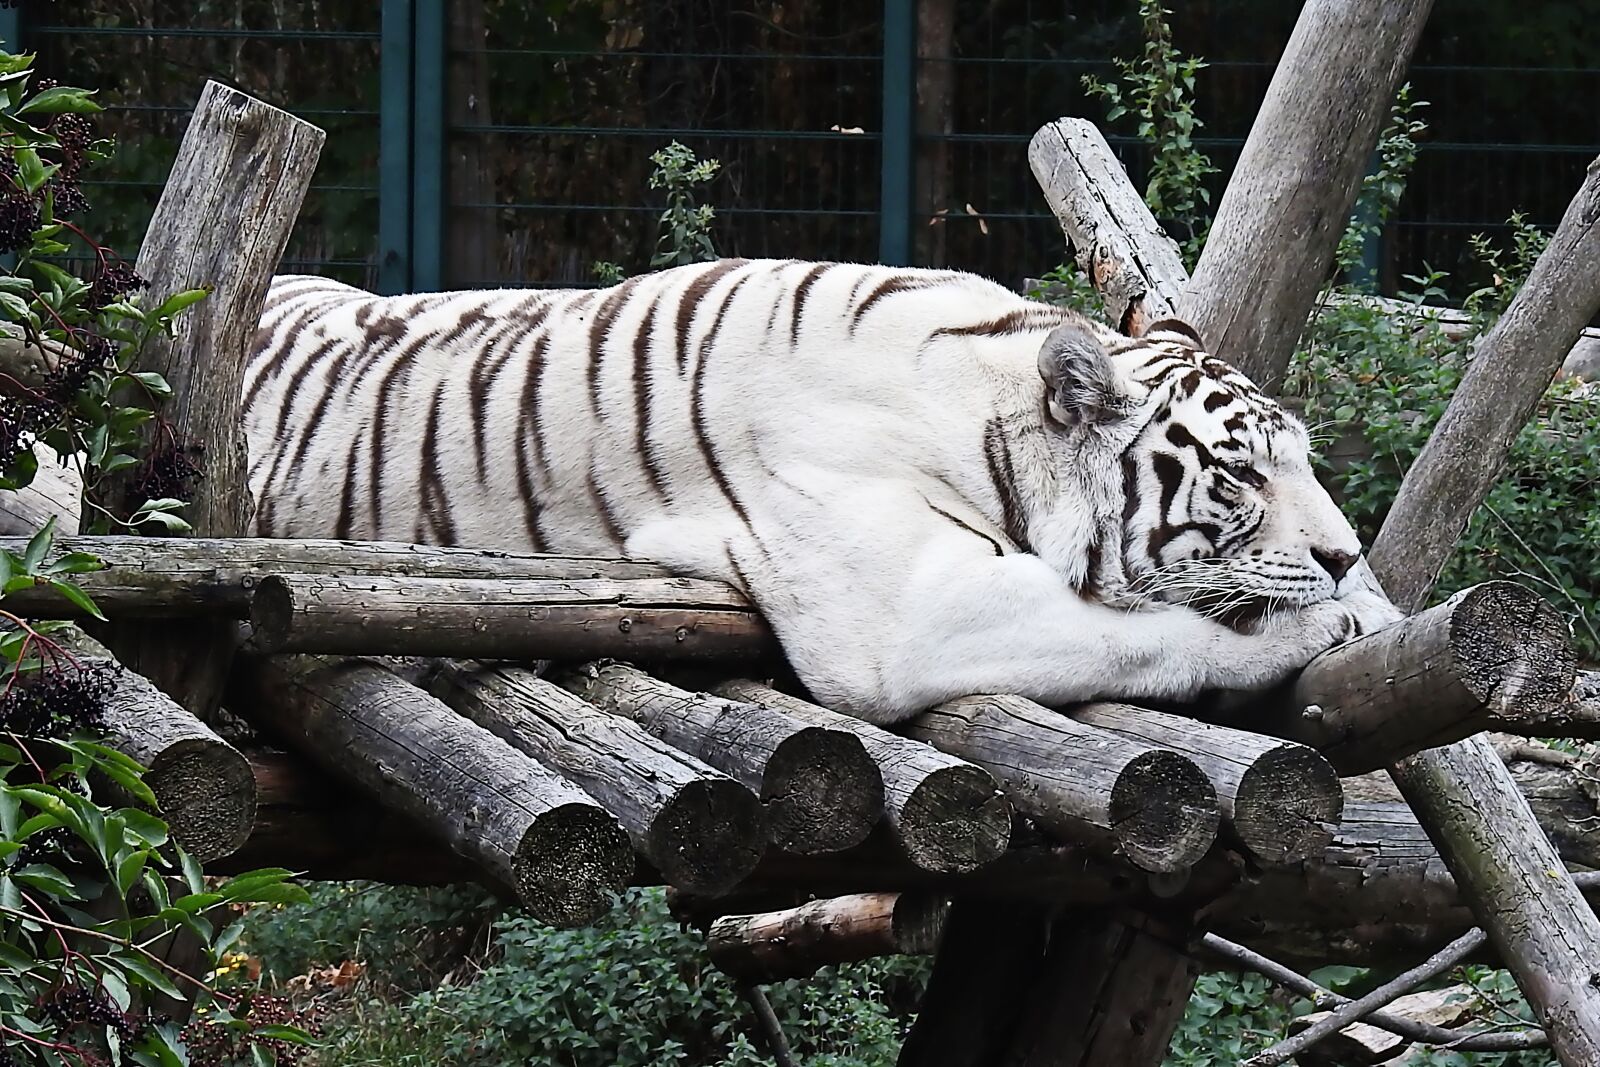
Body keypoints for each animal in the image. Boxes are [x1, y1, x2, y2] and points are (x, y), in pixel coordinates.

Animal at [242, 257, 1400, 724]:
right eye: (1241, 472)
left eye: (1303, 460)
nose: (1345, 551)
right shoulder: (905, 615)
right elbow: (1151, 631)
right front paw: (1328, 621)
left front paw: (1366, 601)